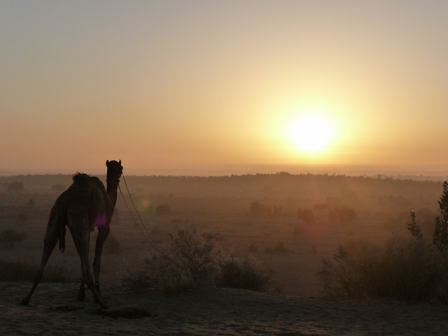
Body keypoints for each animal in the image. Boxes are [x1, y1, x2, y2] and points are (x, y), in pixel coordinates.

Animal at [21, 159, 122, 308]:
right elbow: (96, 261)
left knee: (48, 245)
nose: (120, 174)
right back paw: (102, 302)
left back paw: (26, 299)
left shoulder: (88, 228)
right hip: (77, 218)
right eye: (122, 168)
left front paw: (81, 293)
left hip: (55, 217)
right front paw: (95, 292)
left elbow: (84, 258)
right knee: (86, 266)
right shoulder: (104, 226)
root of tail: (64, 202)